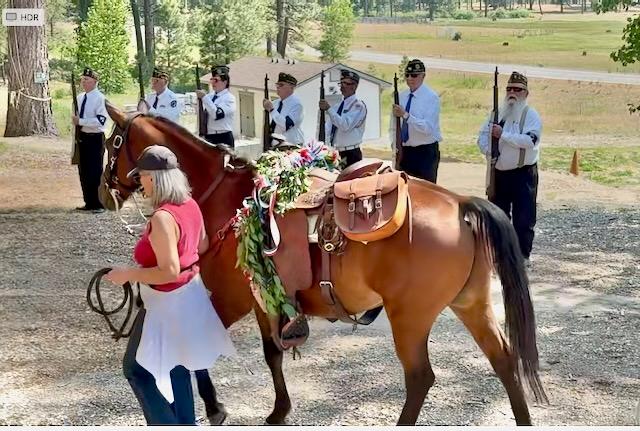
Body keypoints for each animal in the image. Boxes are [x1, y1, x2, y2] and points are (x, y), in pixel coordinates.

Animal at [99, 102, 547, 425]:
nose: (104, 192)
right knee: (504, 360)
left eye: (111, 143)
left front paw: (215, 407)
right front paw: (278, 410)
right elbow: (272, 353)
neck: (228, 198)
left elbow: (200, 352)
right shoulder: (263, 298)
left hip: (410, 317)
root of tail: (461, 204)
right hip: (472, 304)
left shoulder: (229, 298)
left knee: (421, 378)